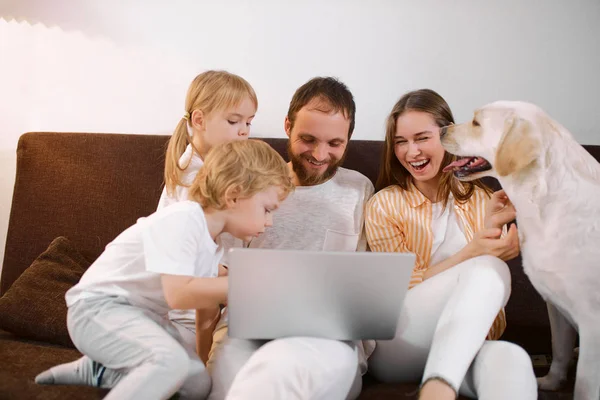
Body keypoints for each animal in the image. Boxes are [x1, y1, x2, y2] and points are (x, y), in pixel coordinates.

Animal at [436, 101, 600, 400]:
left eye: (476, 123)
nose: (441, 129)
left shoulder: (593, 323)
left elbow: (584, 385)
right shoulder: (555, 304)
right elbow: (558, 348)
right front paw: (550, 381)